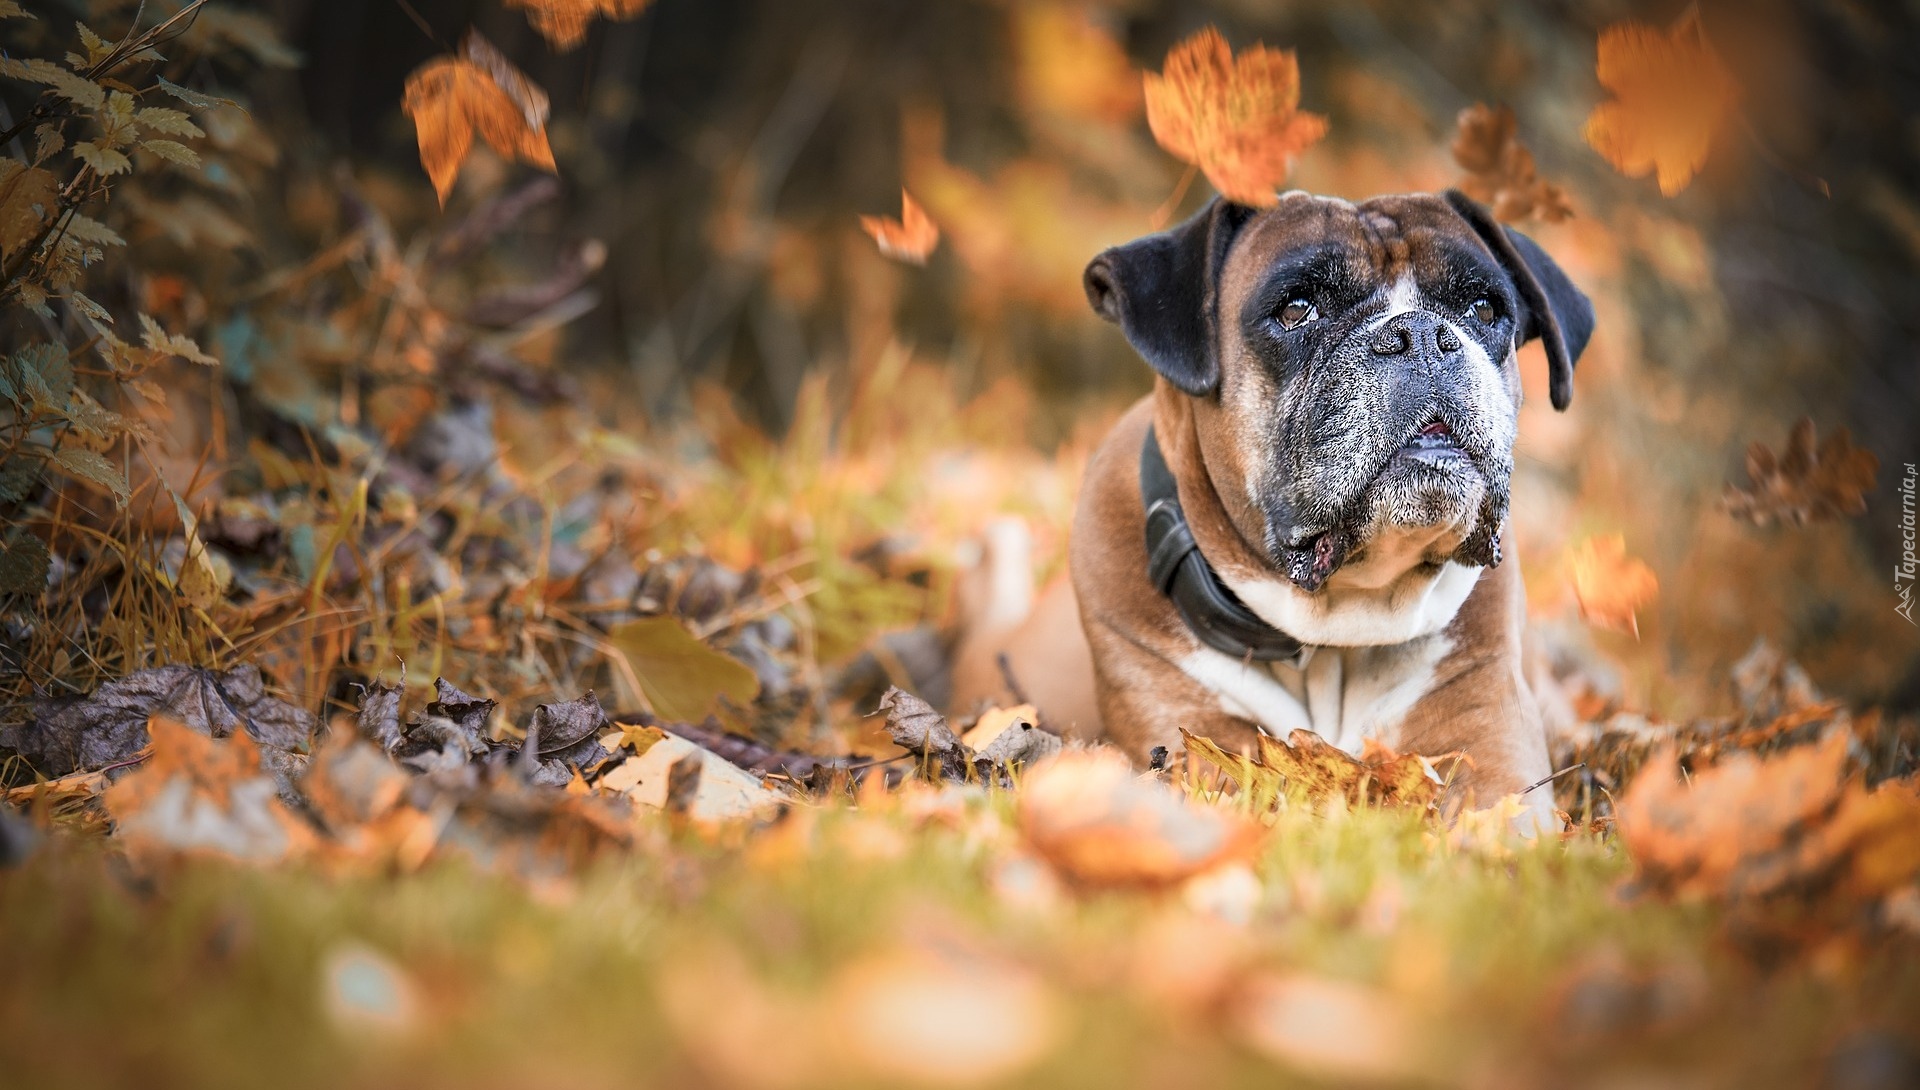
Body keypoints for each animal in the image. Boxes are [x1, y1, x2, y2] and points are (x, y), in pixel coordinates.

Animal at [952, 189, 1597, 817]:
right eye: (1295, 309)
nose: (1420, 334)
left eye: (1483, 310)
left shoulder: (1489, 745)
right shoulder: (1195, 741)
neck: (1338, 627)